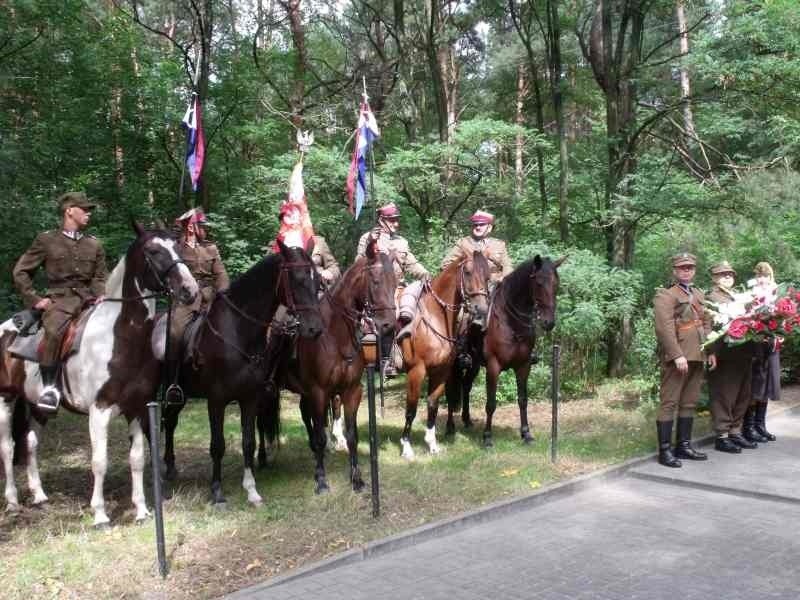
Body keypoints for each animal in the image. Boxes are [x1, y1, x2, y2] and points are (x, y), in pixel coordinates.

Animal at [0, 221, 198, 524]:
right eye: (153, 251)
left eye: (177, 247)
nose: (190, 289)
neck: (121, 338)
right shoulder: (99, 410)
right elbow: (99, 461)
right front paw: (100, 514)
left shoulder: (138, 409)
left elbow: (137, 459)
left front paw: (141, 511)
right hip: (5, 399)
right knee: (8, 447)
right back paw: (12, 501)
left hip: (38, 406)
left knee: (30, 443)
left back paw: (40, 496)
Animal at [158, 239, 324, 506]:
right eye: (297, 279)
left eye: (317, 280)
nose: (315, 329)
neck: (237, 331)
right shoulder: (216, 400)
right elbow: (217, 445)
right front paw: (217, 491)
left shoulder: (250, 398)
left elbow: (248, 442)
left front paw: (251, 489)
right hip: (172, 393)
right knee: (169, 421)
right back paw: (167, 468)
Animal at [260, 241, 398, 494]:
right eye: (375, 281)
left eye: (395, 281)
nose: (388, 325)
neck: (336, 336)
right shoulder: (319, 392)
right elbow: (322, 435)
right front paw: (322, 480)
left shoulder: (351, 391)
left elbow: (351, 435)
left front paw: (357, 479)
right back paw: (263, 457)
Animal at [396, 251, 490, 458]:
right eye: (468, 272)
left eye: (488, 275)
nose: (480, 310)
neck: (433, 317)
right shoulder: (416, 372)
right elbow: (411, 409)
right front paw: (406, 447)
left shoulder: (440, 371)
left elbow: (433, 404)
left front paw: (432, 444)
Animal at [444, 255, 564, 448]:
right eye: (538, 283)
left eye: (556, 283)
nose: (549, 322)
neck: (511, 323)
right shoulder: (494, 367)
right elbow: (491, 403)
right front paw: (487, 437)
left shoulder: (523, 366)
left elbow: (523, 400)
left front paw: (526, 434)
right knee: (450, 392)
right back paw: (450, 428)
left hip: (474, 364)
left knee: (466, 386)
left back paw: (467, 420)